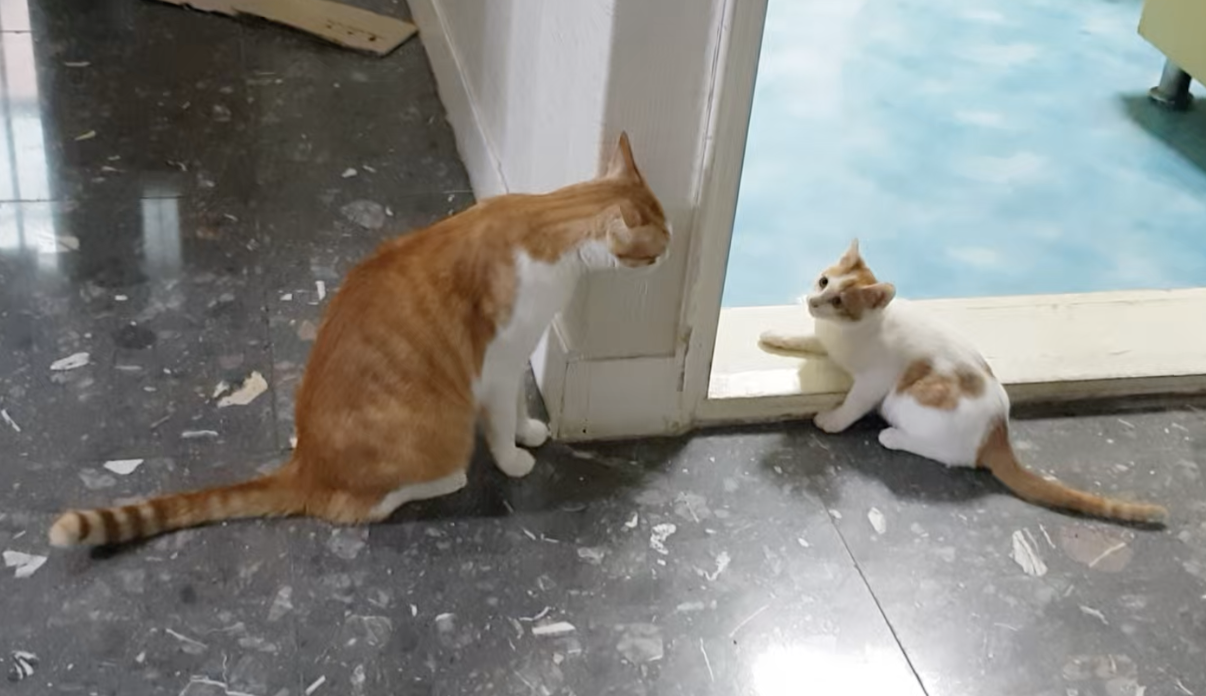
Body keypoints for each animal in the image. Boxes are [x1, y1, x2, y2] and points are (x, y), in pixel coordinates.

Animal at [49, 132, 670, 548]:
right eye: (659, 244)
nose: (671, 252)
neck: (549, 225)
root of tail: (306, 464)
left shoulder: (515, 357)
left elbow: (517, 404)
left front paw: (528, 431)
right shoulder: (494, 366)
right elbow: (498, 421)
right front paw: (514, 457)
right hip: (431, 442)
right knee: (357, 506)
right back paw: (443, 478)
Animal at [759, 239, 1167, 524]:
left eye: (839, 301)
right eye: (823, 282)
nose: (814, 301)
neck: (849, 334)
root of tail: (998, 434)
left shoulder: (875, 380)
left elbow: (853, 404)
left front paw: (831, 420)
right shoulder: (825, 340)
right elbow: (805, 338)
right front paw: (774, 335)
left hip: (907, 397)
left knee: (955, 456)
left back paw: (893, 437)